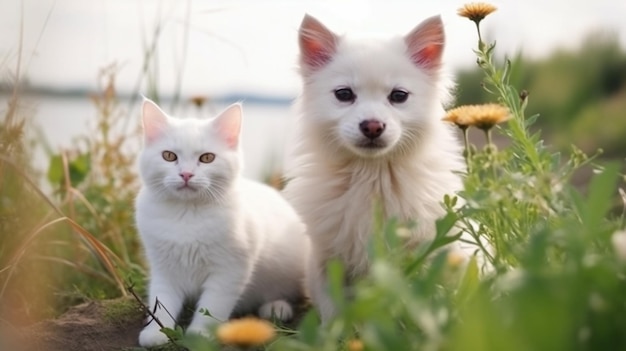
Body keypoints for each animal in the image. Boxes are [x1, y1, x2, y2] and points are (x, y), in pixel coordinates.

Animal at [135, 98, 308, 346]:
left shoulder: (230, 269)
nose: (186, 174)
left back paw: (276, 307)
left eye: (207, 158)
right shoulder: (163, 266)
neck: (187, 213)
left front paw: (201, 334)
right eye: (169, 156)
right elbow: (162, 300)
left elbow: (212, 305)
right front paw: (157, 331)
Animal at [282, 14, 468, 324]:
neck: (372, 175)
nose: (372, 126)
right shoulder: (326, 258)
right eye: (344, 94)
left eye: (399, 96)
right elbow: (333, 313)